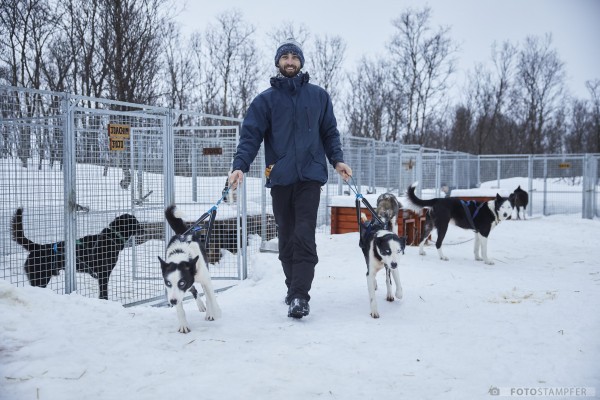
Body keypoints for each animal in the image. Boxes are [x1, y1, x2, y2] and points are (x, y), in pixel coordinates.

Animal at [12, 208, 144, 298]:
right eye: (136, 222)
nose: (144, 228)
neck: (113, 237)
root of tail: (38, 247)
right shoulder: (104, 273)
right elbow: (103, 292)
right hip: (41, 278)